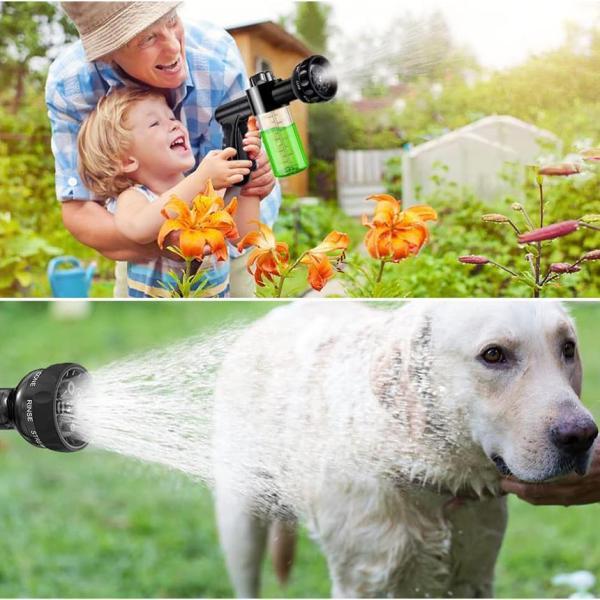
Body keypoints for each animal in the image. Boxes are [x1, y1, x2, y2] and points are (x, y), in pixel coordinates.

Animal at [211, 302, 596, 596]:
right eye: (493, 354)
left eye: (568, 348)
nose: (583, 435)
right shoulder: (362, 581)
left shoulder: (473, 576)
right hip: (240, 519)